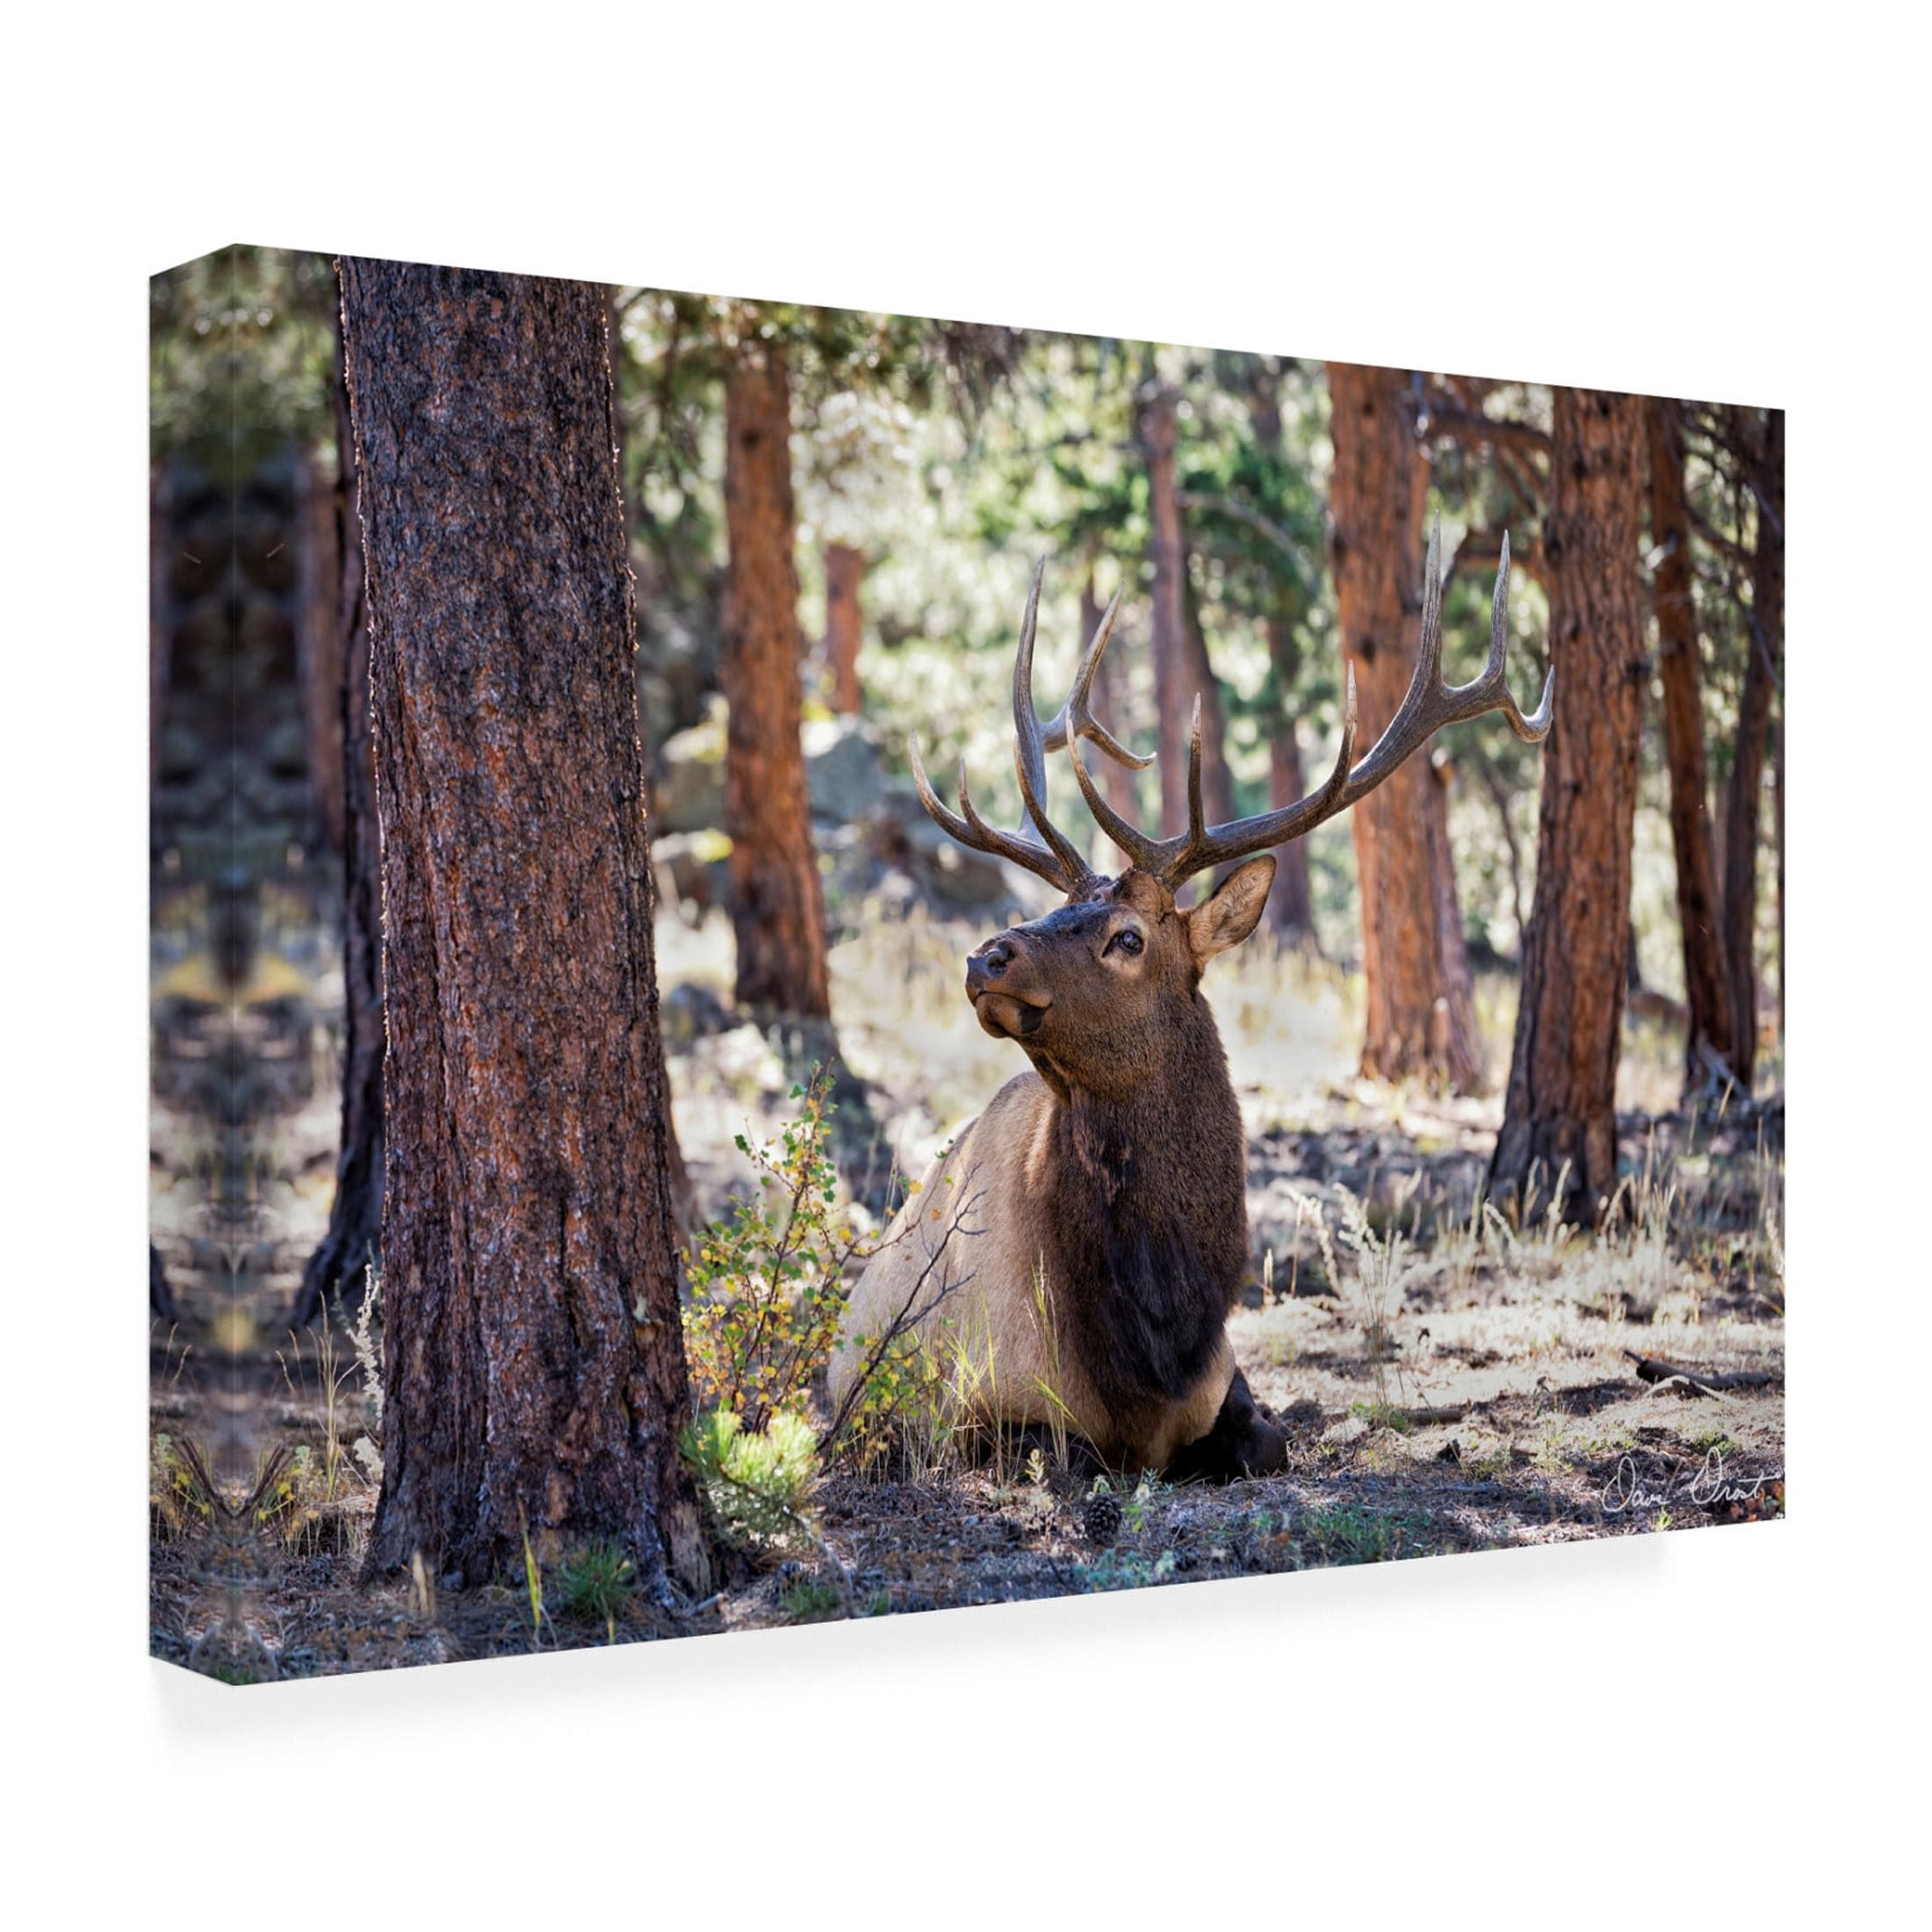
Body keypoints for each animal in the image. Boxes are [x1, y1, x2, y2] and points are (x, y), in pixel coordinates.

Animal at [828, 518, 1552, 1481]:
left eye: (1127, 936)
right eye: (1058, 911)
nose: (986, 958)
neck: (1157, 1341)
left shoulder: (1230, 1382)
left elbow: (1272, 1439)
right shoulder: (974, 1408)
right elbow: (1074, 1452)